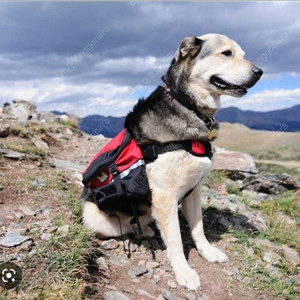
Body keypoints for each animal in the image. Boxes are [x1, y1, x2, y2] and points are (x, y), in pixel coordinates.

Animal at [82, 33, 262, 290]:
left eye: (243, 54)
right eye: (226, 53)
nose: (260, 72)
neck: (187, 104)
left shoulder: (194, 191)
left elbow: (198, 227)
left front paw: (208, 252)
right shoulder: (165, 196)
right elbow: (176, 239)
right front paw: (184, 272)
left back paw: (146, 230)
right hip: (94, 215)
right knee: (122, 227)